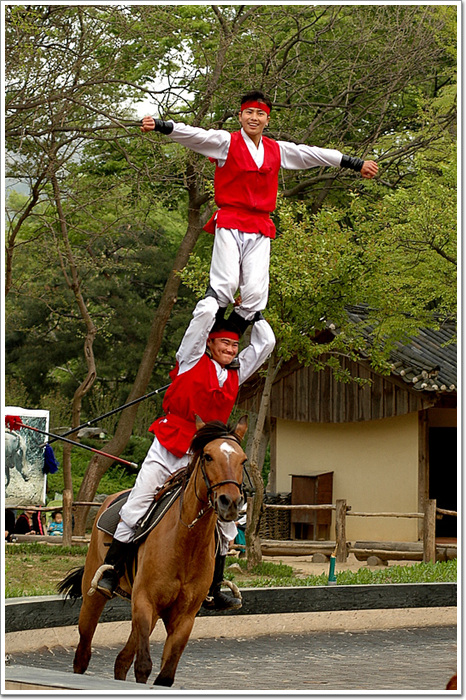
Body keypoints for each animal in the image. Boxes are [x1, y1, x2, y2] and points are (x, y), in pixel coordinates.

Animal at [59, 416, 248, 684]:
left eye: (243, 460)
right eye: (208, 456)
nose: (230, 503)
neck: (187, 541)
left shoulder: (184, 618)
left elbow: (165, 675)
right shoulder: (144, 601)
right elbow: (144, 666)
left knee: (122, 659)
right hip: (95, 599)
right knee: (83, 654)